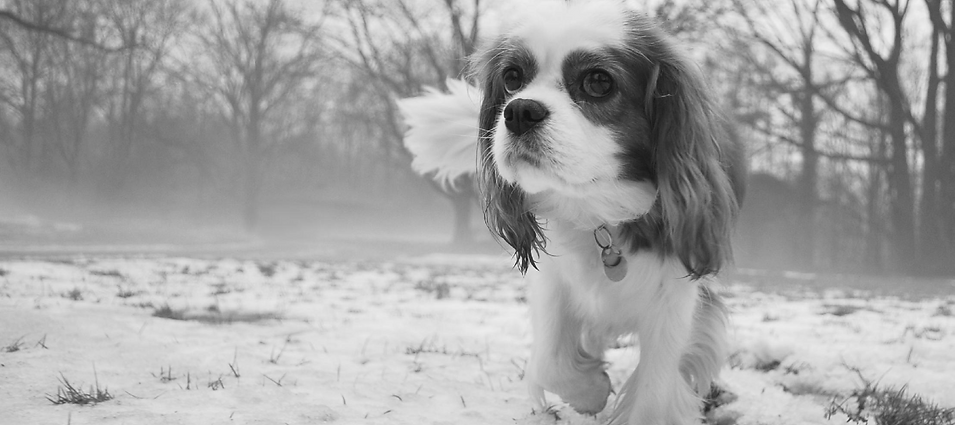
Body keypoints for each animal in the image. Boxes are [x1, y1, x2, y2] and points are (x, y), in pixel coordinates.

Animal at [400, 1, 745, 423]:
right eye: (512, 78)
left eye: (598, 82)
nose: (519, 111)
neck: (600, 212)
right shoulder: (555, 282)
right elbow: (550, 361)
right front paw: (590, 390)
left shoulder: (679, 302)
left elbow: (654, 392)